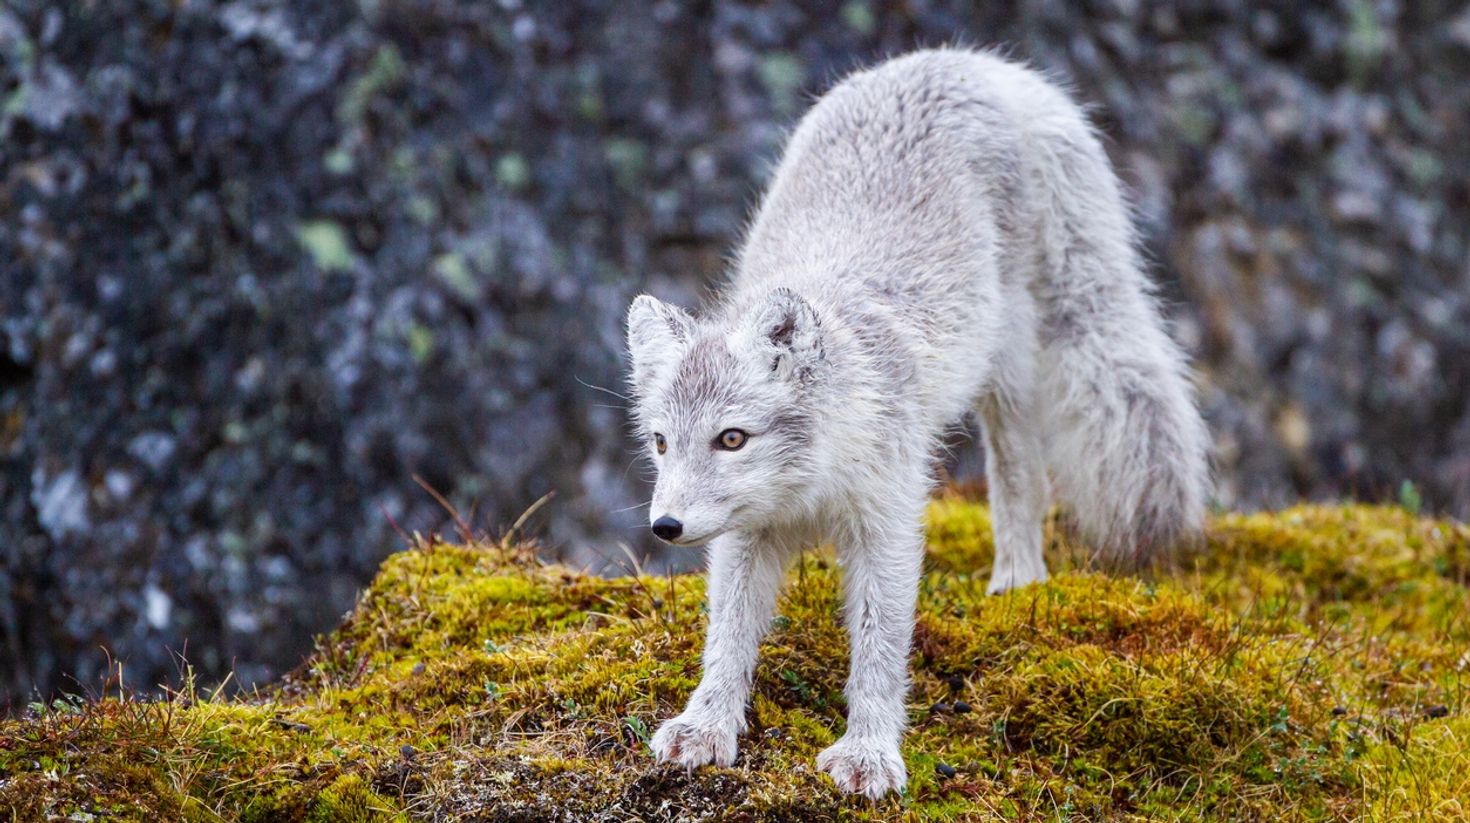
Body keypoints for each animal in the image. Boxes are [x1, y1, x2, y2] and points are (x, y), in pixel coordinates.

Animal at [624, 48, 1210, 799]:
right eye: (661, 442)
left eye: (731, 438)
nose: (665, 526)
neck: (812, 486)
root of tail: (972, 64)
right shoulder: (748, 533)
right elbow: (727, 636)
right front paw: (706, 725)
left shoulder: (889, 522)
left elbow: (879, 647)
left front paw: (870, 751)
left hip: (1009, 364)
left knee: (1020, 475)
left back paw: (1017, 581)